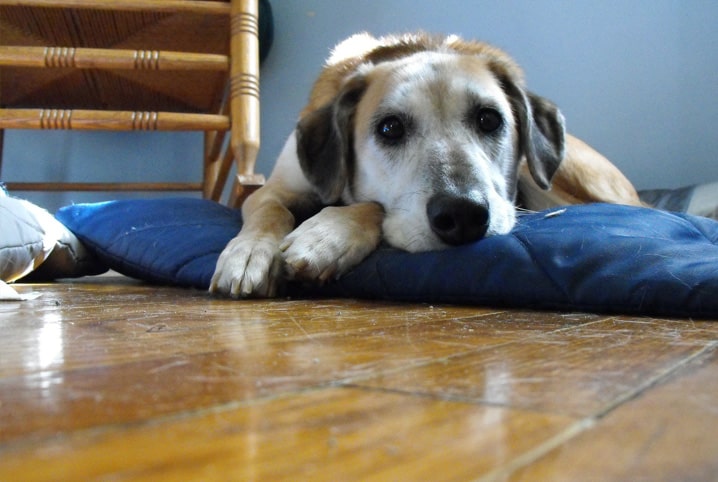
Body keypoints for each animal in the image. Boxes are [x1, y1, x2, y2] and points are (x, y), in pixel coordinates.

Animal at [211, 32, 644, 298]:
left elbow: (371, 206)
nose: (463, 215)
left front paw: (326, 237)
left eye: (489, 119)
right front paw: (250, 253)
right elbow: (269, 210)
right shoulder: (275, 188)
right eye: (389, 128)